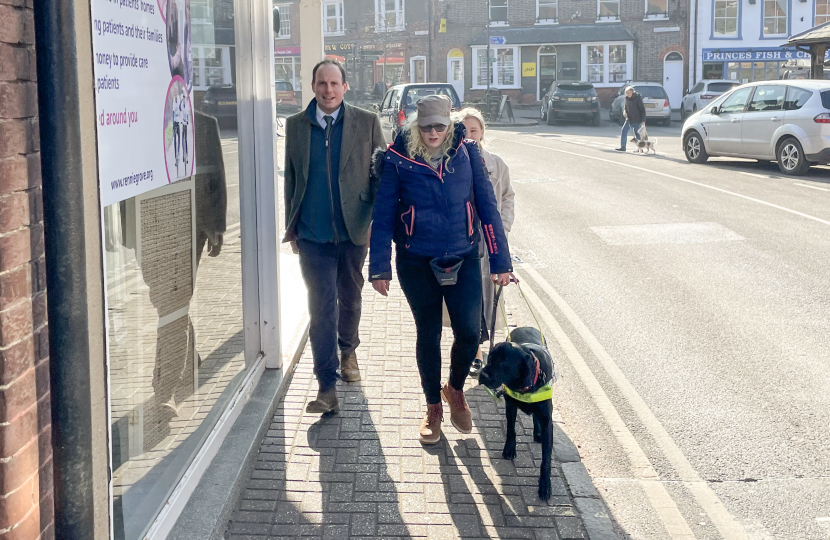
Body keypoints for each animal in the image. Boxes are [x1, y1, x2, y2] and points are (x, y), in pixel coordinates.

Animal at [478, 330, 556, 502]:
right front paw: (509, 449)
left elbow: (546, 459)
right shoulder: (510, 405)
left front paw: (545, 485)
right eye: (490, 358)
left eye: (502, 362)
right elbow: (511, 430)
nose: (482, 375)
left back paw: (537, 432)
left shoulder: (547, 421)